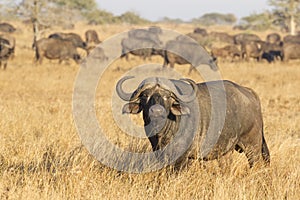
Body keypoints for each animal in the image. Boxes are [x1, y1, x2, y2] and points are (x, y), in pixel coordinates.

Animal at [116, 76, 270, 169]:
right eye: (145, 96)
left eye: (167, 97)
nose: (156, 111)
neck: (163, 133)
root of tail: (250, 93)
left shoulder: (183, 158)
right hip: (228, 150)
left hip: (253, 146)